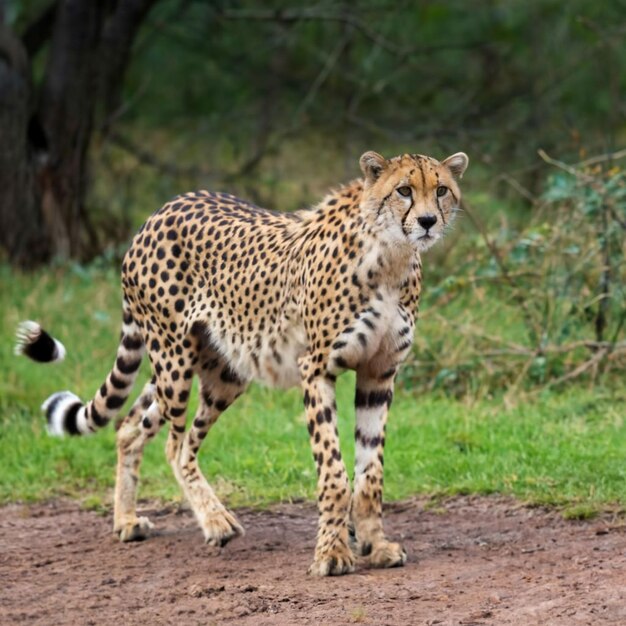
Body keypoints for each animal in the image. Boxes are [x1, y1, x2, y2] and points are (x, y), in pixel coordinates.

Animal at [14, 147, 466, 576]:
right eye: (403, 190)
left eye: (441, 190)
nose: (427, 221)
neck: (391, 255)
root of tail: (160, 211)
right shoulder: (316, 368)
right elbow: (334, 472)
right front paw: (332, 554)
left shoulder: (379, 373)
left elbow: (370, 474)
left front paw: (374, 545)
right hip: (175, 359)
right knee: (176, 446)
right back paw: (215, 521)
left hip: (215, 369)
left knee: (133, 426)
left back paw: (126, 520)